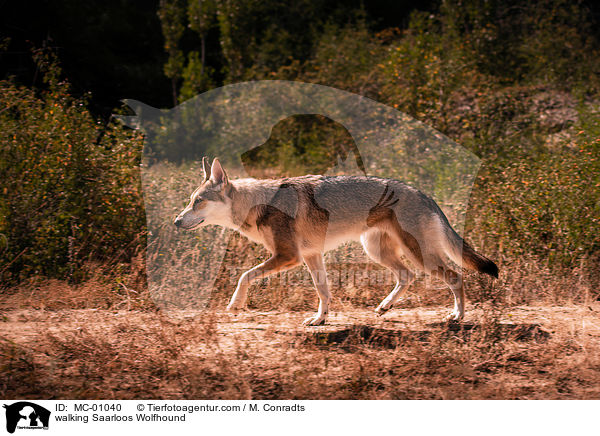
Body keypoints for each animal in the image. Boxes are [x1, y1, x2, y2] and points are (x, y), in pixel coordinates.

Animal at [173, 158, 496, 326]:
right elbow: (323, 292)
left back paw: (457, 316)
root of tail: (424, 193)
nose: (176, 221)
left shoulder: (288, 256)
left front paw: (235, 304)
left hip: (418, 255)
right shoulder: (311, 256)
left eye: (197, 202)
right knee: (407, 276)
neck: (257, 203)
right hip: (378, 251)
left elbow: (243, 275)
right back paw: (384, 308)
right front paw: (320, 320)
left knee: (455, 277)